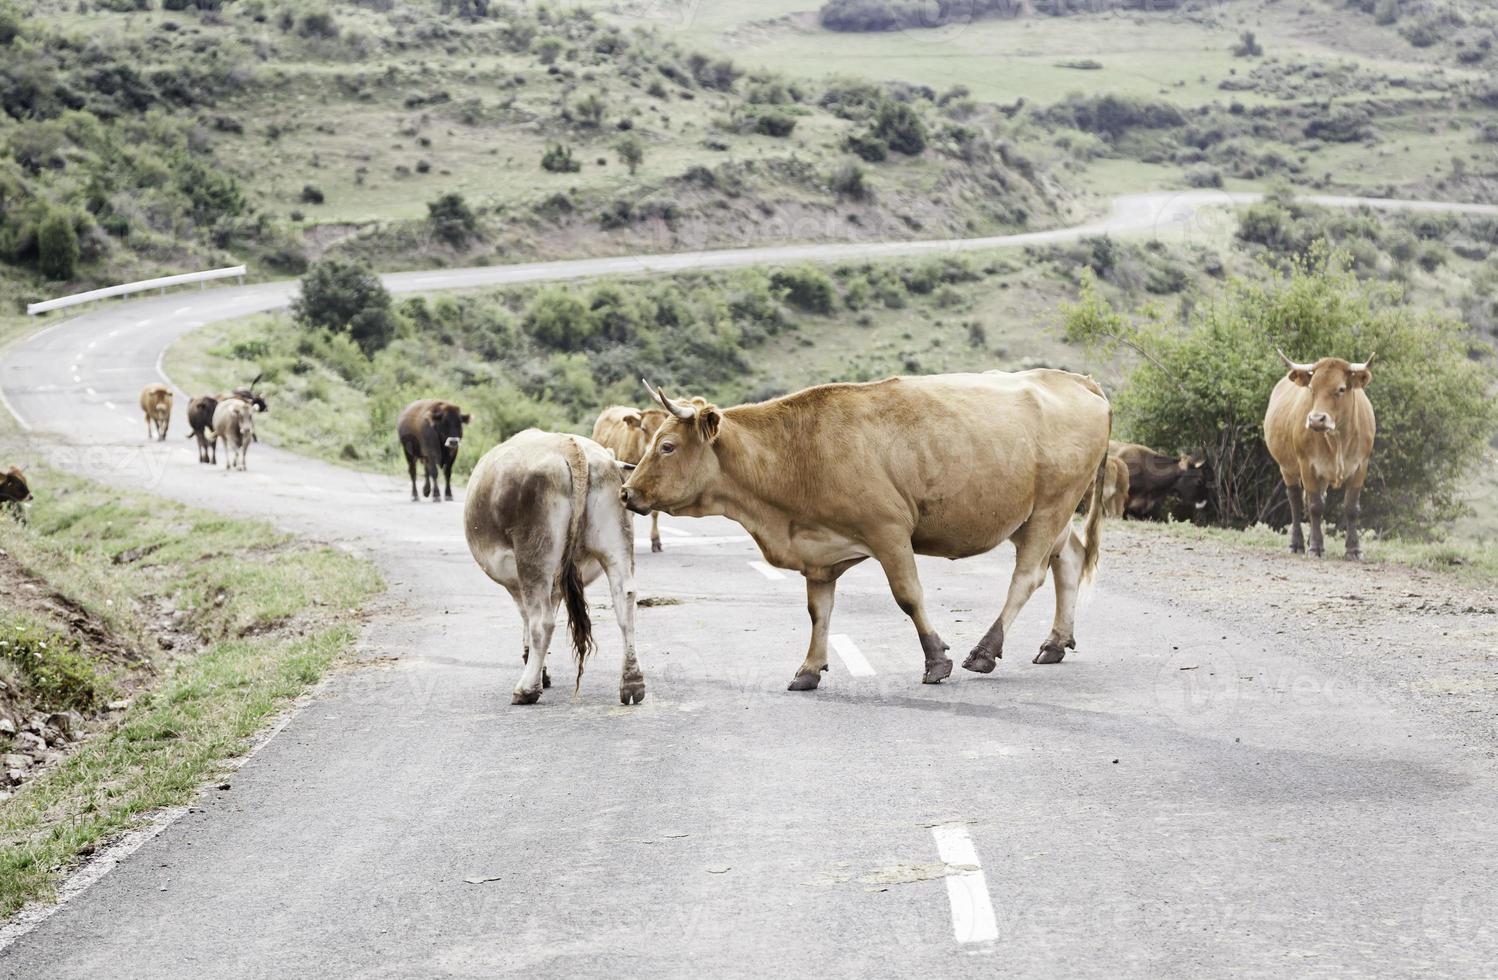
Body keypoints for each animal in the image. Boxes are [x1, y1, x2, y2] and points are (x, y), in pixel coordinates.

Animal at [620, 370, 1114, 692]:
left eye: (667, 446)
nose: (626, 492)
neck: (798, 451)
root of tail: (1074, 379)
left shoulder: (889, 532)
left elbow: (908, 596)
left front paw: (937, 660)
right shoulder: (818, 554)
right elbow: (818, 612)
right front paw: (808, 669)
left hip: (1051, 506)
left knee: (1027, 577)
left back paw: (985, 652)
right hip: (1037, 515)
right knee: (1068, 560)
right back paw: (1054, 642)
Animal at [1258, 349, 1372, 560]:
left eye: (1341, 389)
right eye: (1312, 388)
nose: (1316, 419)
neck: (1338, 439)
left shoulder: (1361, 466)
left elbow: (1351, 508)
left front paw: (1354, 549)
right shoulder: (1307, 466)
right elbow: (1315, 506)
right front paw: (1316, 547)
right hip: (1287, 467)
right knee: (1295, 501)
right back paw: (1297, 544)